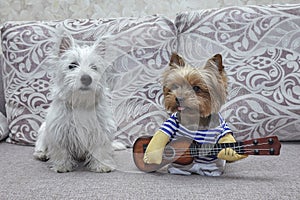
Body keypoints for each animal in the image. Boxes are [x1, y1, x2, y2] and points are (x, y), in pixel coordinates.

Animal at [33, 33, 120, 173]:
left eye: (94, 67)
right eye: (72, 65)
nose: (86, 78)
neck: (81, 103)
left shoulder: (101, 130)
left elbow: (100, 150)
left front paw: (102, 165)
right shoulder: (59, 131)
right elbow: (61, 151)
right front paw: (62, 166)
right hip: (43, 130)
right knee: (41, 146)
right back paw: (42, 154)